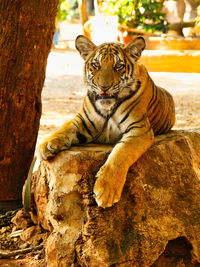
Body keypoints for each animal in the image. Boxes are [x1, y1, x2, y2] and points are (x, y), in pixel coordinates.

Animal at [37, 34, 175, 209]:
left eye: (118, 66)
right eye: (96, 65)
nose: (104, 87)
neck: (108, 108)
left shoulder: (139, 130)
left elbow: (120, 154)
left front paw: (106, 191)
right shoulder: (83, 121)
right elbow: (65, 128)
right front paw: (46, 145)